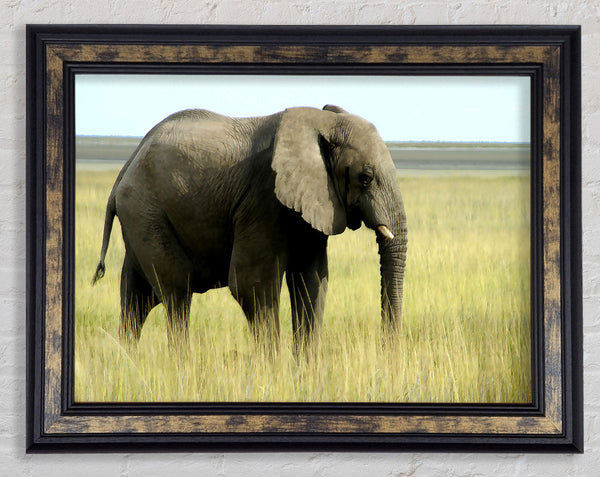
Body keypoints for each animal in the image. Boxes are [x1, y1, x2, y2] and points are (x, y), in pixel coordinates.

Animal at [91, 106, 408, 352]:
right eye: (365, 178)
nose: (386, 351)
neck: (321, 121)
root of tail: (125, 167)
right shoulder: (263, 198)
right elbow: (252, 285)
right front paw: (275, 374)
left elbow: (312, 281)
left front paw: (305, 374)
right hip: (146, 212)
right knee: (176, 294)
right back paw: (180, 364)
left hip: (141, 218)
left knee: (137, 298)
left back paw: (128, 362)